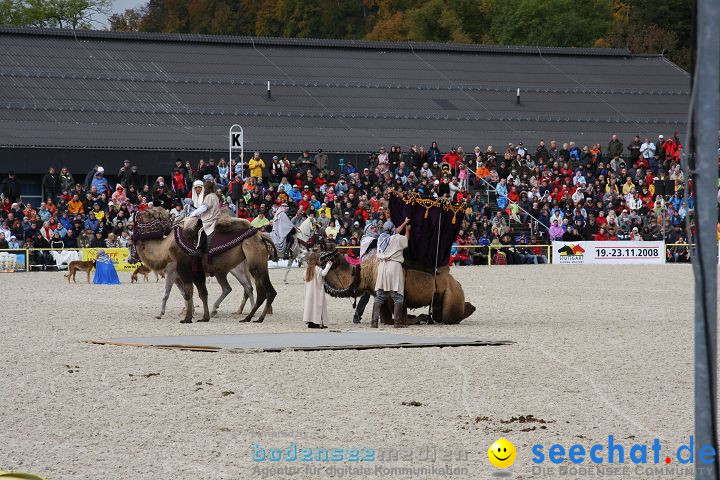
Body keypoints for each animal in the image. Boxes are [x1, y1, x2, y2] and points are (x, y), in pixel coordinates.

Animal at [129, 207, 276, 322]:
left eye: (148, 213)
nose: (135, 214)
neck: (166, 248)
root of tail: (260, 236)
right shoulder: (190, 274)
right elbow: (196, 293)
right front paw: (196, 314)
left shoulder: (178, 272)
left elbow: (176, 293)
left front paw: (167, 315)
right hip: (224, 270)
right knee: (234, 288)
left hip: (251, 265)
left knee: (254, 288)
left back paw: (251, 315)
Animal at [322, 249, 478, 324]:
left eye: (334, 262)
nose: (325, 255)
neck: (366, 271)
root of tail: (456, 282)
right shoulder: (379, 293)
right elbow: (385, 315)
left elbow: (400, 312)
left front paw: (416, 318)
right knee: (441, 316)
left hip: (452, 291)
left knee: (447, 318)